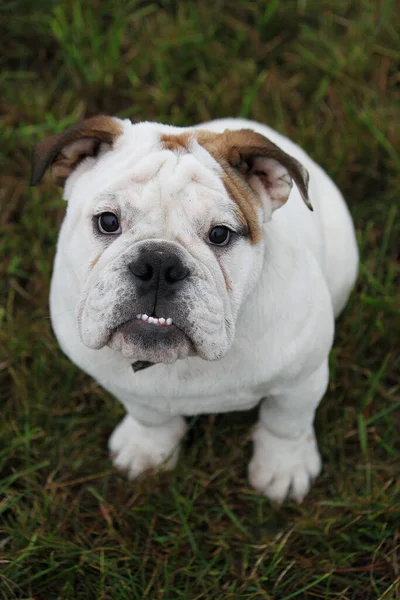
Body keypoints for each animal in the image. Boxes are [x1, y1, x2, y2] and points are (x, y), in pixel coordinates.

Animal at [29, 116, 358, 502]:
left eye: (220, 234)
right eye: (108, 222)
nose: (159, 264)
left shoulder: (301, 380)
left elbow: (286, 423)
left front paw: (283, 468)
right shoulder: (123, 384)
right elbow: (148, 414)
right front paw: (148, 448)